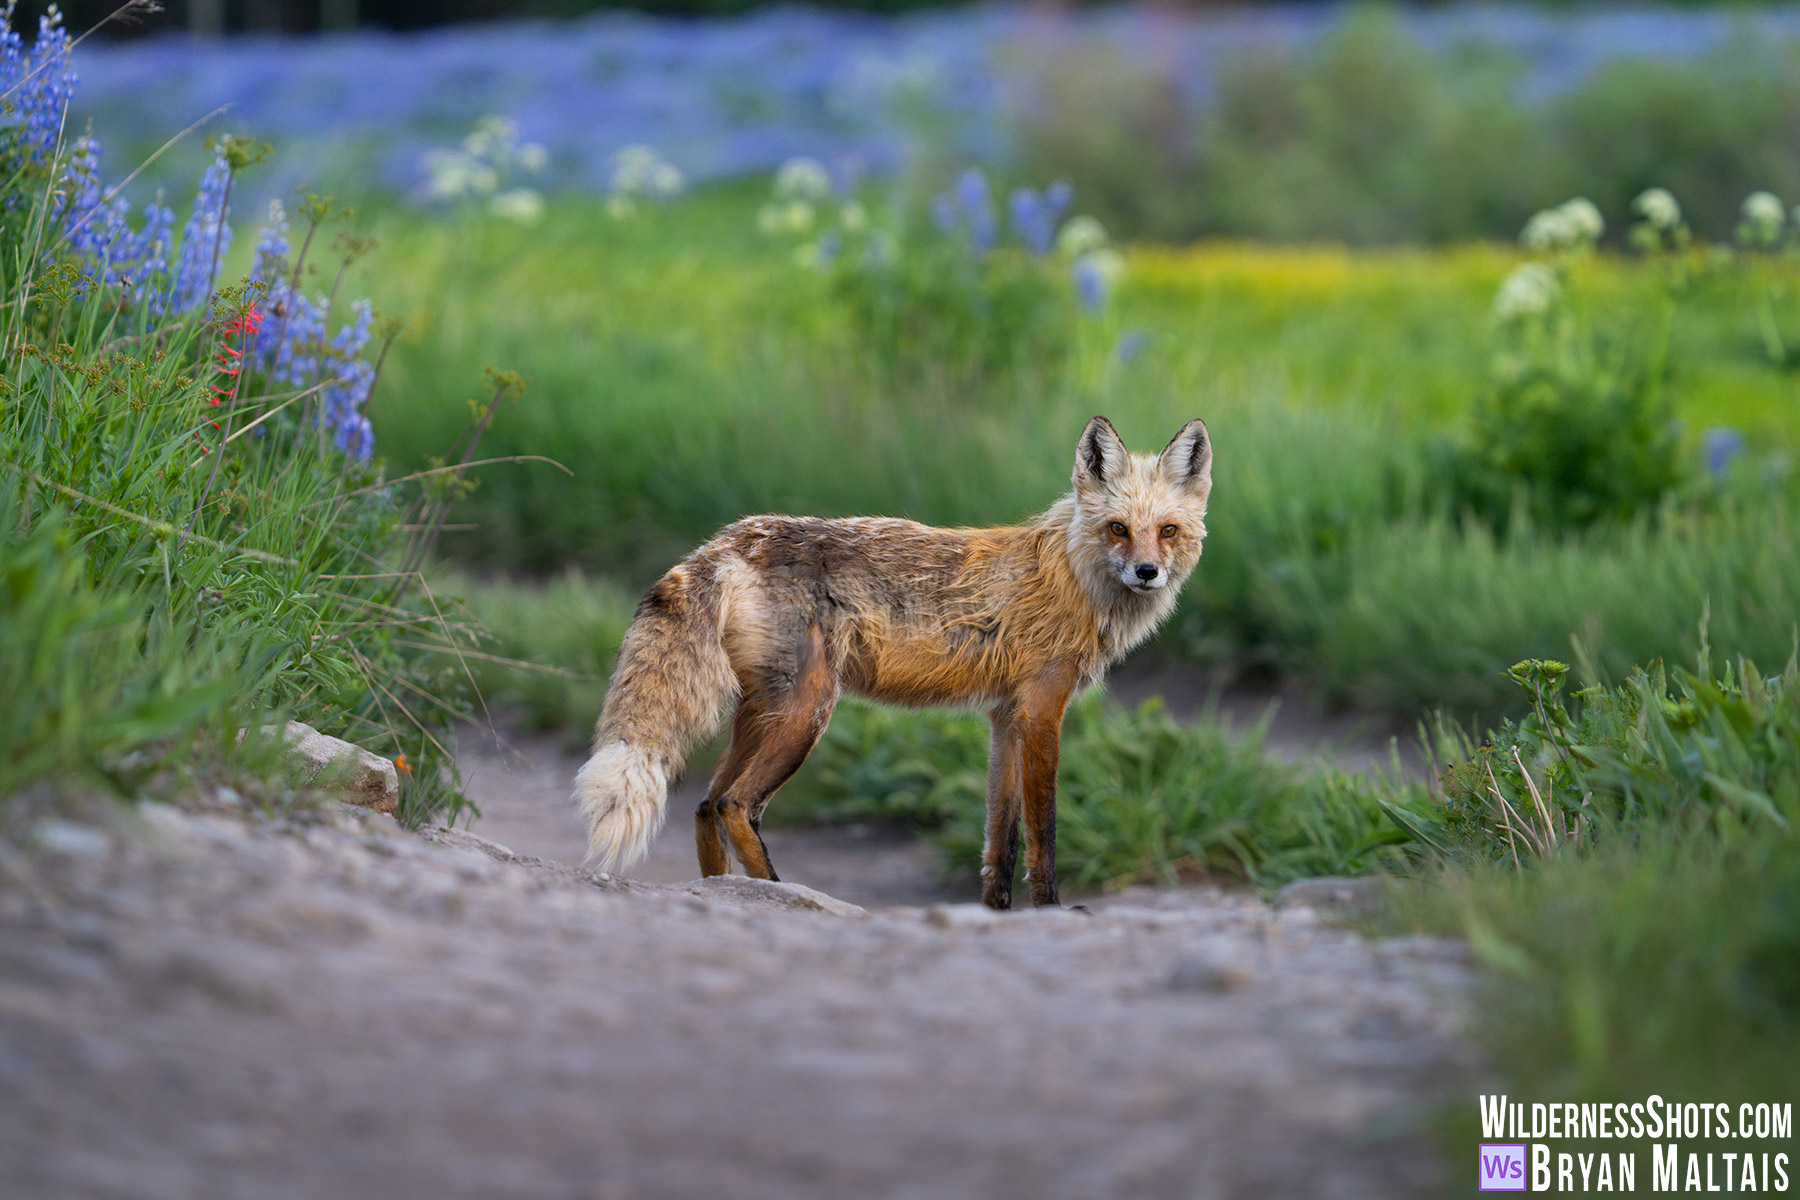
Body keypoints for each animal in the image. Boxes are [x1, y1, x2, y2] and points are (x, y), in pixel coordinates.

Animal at [574, 415, 1212, 909]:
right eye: (1118, 529)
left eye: (1167, 531)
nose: (1147, 573)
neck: (1069, 575)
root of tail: (731, 539)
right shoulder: (1040, 712)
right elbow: (1044, 837)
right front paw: (1050, 912)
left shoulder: (1004, 717)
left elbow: (1000, 844)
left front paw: (997, 915)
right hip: (809, 711)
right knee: (735, 805)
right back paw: (781, 894)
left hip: (762, 713)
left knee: (707, 806)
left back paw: (725, 894)